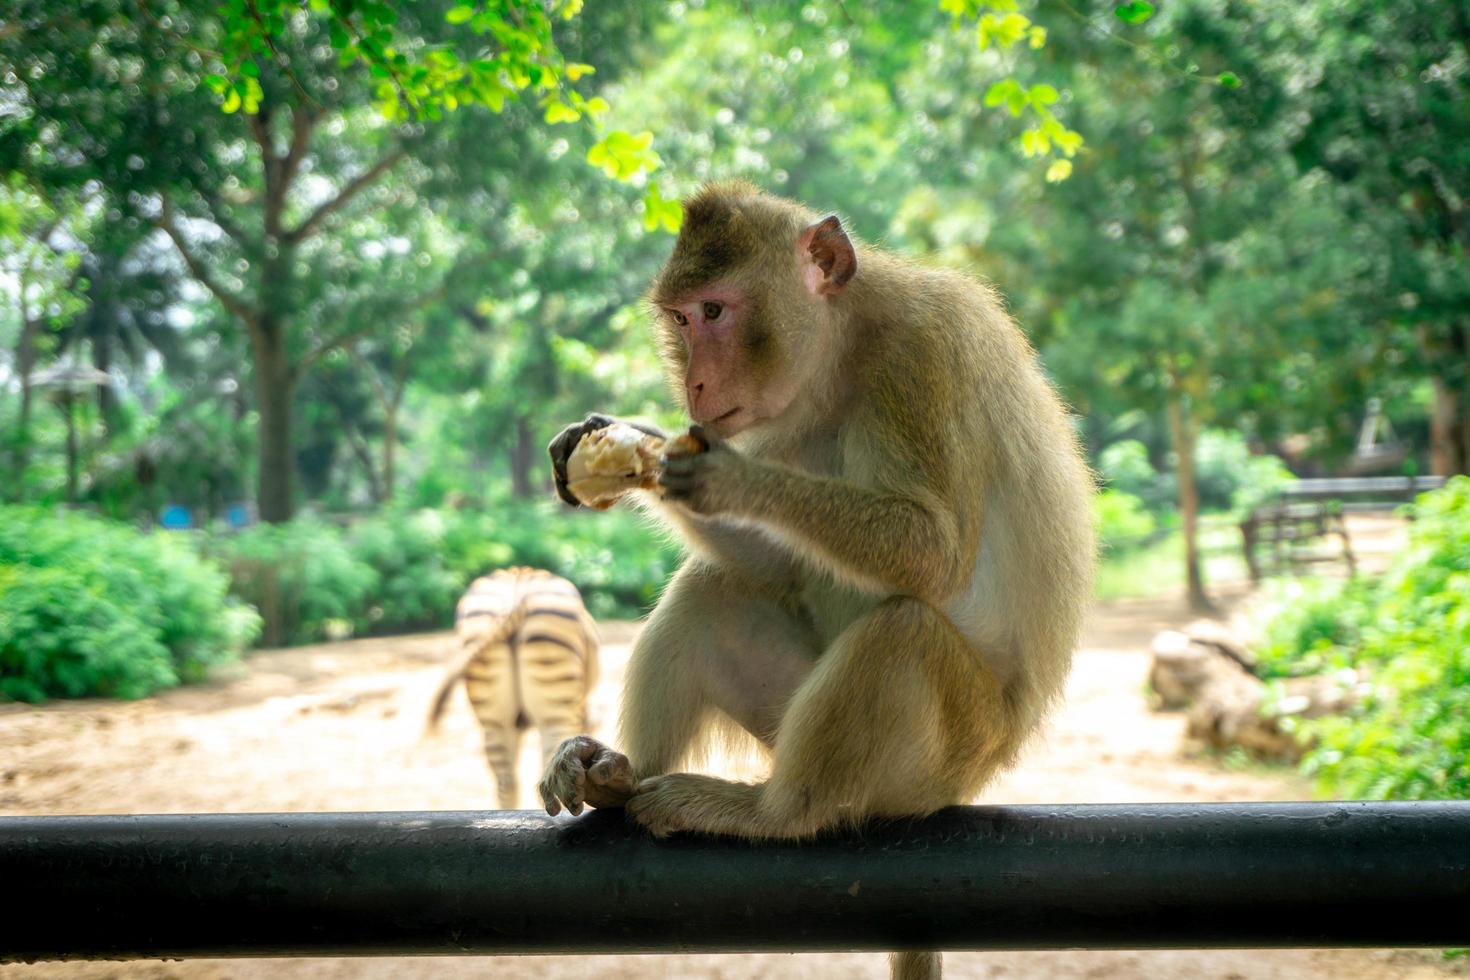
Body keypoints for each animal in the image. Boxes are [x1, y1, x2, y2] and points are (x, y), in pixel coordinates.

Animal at [538, 183, 1093, 980]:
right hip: (783, 709)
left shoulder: (925, 354)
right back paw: (613, 774)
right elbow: (777, 566)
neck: (845, 352)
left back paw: (773, 813)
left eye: (715, 312)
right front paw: (630, 445)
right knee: (713, 591)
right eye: (681, 318)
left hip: (946, 761)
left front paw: (730, 478)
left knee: (901, 634)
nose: (695, 384)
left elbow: (936, 553)